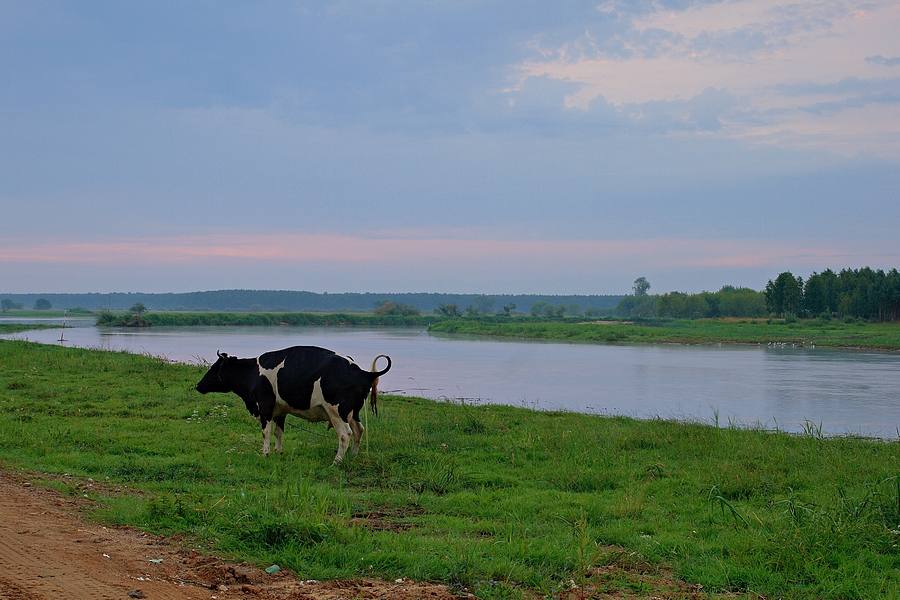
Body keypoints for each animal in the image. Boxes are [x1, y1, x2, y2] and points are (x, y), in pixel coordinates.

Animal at [197, 346, 390, 464]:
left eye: (214, 368)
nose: (198, 385)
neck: (253, 373)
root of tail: (364, 372)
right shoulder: (280, 410)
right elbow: (278, 431)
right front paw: (278, 451)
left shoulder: (265, 405)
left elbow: (266, 432)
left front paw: (265, 453)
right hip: (353, 412)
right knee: (359, 431)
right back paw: (352, 456)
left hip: (337, 412)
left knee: (345, 434)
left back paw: (337, 461)